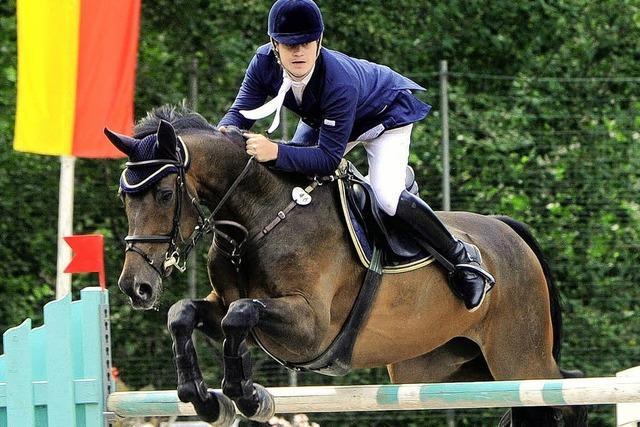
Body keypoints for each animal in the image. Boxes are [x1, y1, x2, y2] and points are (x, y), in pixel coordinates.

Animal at [104, 104, 584, 427]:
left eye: (165, 194)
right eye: (124, 198)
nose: (135, 287)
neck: (258, 218)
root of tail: (509, 231)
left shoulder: (311, 326)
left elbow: (240, 316)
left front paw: (248, 397)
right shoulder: (224, 305)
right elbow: (183, 313)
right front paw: (203, 399)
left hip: (517, 357)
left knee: (563, 391)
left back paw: (471, 276)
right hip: (449, 365)